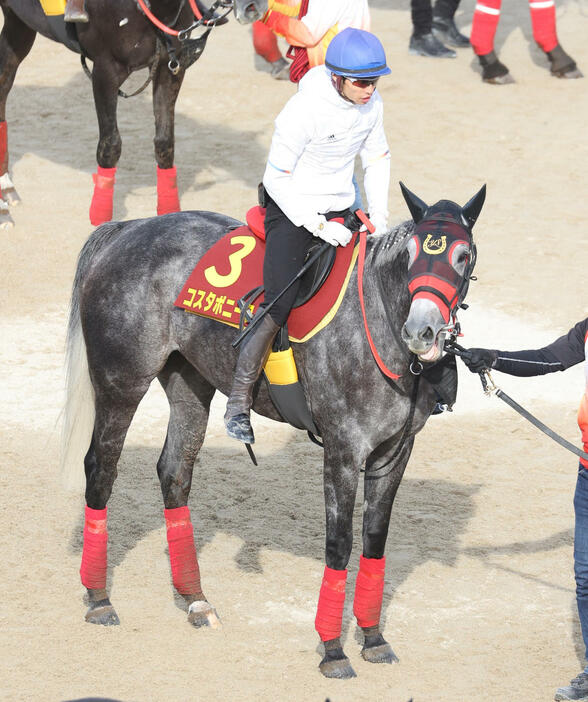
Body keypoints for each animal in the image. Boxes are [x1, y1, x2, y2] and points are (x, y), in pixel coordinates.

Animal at [0, 0, 266, 227]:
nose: (254, 7)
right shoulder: (105, 70)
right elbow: (110, 146)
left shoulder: (170, 66)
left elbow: (164, 143)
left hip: (18, 24)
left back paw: (6, 189)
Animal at [59, 184, 484, 680]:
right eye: (415, 251)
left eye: (463, 254)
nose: (422, 330)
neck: (375, 325)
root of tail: (126, 229)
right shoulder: (343, 451)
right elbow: (339, 544)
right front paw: (332, 650)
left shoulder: (395, 452)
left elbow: (375, 540)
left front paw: (374, 639)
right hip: (121, 383)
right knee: (100, 469)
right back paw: (98, 598)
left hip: (189, 384)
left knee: (174, 473)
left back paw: (195, 599)